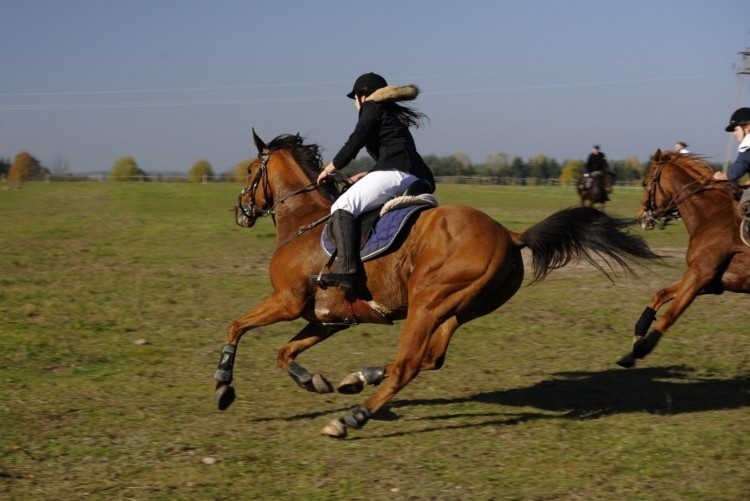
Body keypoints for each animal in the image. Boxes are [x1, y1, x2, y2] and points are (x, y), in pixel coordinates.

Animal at [214, 130, 660, 438]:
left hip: (427, 303)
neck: (304, 222)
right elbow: (284, 352)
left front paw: (223, 385)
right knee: (431, 358)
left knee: (410, 365)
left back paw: (351, 417)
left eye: (251, 171)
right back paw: (359, 378)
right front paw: (314, 381)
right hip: (456, 310)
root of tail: (508, 234)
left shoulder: (287, 302)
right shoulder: (326, 319)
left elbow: (235, 327)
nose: (240, 210)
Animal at [616, 149, 750, 368]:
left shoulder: (699, 276)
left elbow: (669, 315)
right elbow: (660, 295)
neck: (711, 215)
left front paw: (638, 351)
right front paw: (637, 338)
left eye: (645, 183)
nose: (641, 217)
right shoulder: (711, 283)